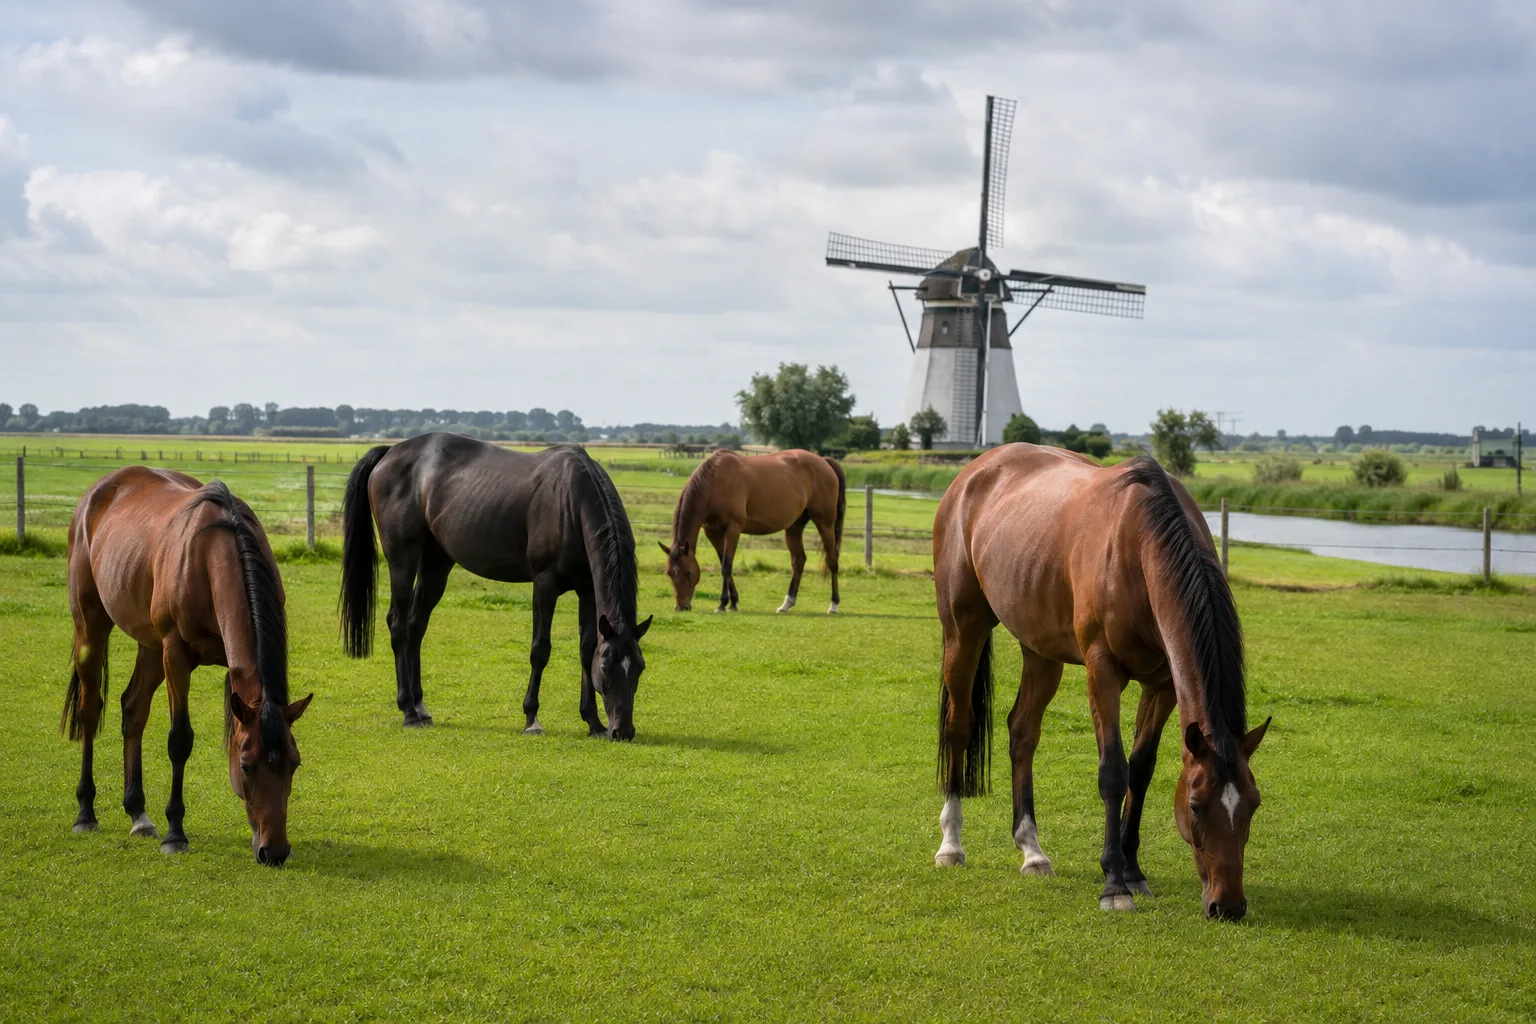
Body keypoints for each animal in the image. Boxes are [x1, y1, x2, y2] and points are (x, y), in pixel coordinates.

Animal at [63, 468, 312, 865]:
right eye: (247, 765)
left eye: (295, 763)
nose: (274, 852)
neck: (210, 554)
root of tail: (97, 492)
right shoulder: (176, 655)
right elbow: (180, 740)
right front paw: (175, 834)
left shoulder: (230, 666)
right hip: (91, 627)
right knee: (90, 710)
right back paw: (86, 813)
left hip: (149, 645)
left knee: (133, 709)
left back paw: (138, 814)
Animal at [340, 434, 652, 739]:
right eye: (607, 667)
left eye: (639, 667)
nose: (623, 731)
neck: (571, 501)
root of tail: (391, 452)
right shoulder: (545, 584)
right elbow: (540, 649)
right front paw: (531, 719)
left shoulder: (586, 589)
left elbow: (586, 649)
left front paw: (593, 722)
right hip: (402, 559)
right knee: (399, 625)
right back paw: (408, 712)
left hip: (436, 562)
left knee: (416, 626)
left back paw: (421, 707)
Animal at [660, 449, 846, 614]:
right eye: (669, 573)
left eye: (689, 572)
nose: (682, 607)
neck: (716, 482)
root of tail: (824, 461)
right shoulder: (713, 532)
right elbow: (723, 563)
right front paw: (733, 602)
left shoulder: (733, 529)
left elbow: (726, 565)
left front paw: (722, 604)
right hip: (794, 526)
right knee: (798, 561)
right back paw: (786, 604)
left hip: (825, 523)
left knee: (832, 560)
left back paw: (834, 605)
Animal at [931, 446, 1270, 920]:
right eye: (1197, 806)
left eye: (1253, 804)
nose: (1229, 906)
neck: (1138, 543)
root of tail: (973, 471)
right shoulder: (1102, 669)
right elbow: (1113, 770)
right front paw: (1114, 883)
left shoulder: (1162, 683)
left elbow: (1141, 770)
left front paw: (1134, 871)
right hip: (964, 628)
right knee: (958, 726)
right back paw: (951, 844)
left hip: (1041, 650)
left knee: (1022, 732)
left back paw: (1032, 851)